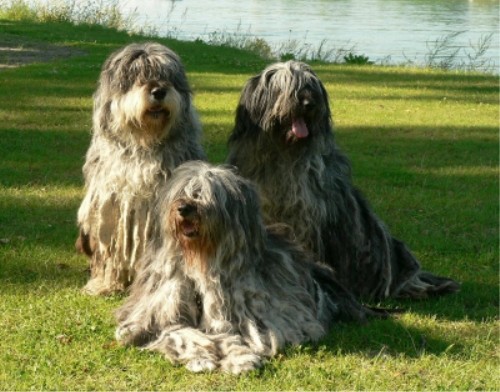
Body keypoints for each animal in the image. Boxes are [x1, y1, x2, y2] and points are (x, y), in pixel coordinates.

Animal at [76, 42, 205, 294]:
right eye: (137, 76)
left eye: (167, 76)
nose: (159, 91)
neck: (144, 143)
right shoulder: (110, 205)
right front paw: (105, 283)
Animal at [114, 162, 378, 374]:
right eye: (183, 192)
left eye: (209, 194)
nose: (184, 208)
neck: (202, 263)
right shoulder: (157, 316)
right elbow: (181, 333)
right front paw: (201, 357)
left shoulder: (250, 319)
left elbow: (233, 337)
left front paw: (240, 360)